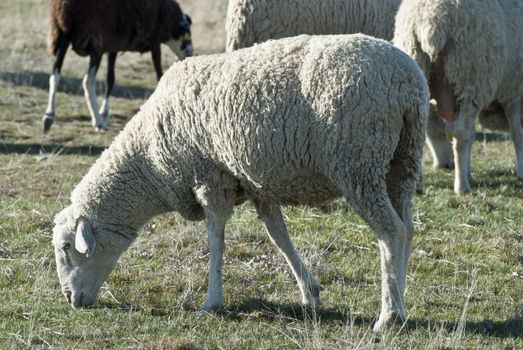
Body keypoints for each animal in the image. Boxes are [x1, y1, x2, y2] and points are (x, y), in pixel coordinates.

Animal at [43, 0, 194, 133]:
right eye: (187, 31)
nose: (191, 52)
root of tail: (68, 7)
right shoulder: (154, 43)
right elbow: (159, 74)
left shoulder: (113, 47)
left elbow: (110, 80)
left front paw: (104, 112)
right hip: (95, 41)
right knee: (87, 81)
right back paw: (97, 122)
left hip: (61, 34)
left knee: (55, 75)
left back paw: (49, 116)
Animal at [52, 34, 430, 332]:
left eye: (67, 248)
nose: (70, 299)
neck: (149, 160)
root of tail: (407, 79)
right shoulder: (256, 182)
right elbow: (278, 236)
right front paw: (309, 292)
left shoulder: (209, 177)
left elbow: (216, 239)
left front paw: (212, 301)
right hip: (402, 162)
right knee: (407, 229)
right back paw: (401, 301)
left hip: (358, 164)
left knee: (391, 232)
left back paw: (389, 314)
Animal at [392, 0, 523, 193]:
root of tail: (431, 21)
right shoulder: (513, 92)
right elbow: (517, 134)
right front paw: (521, 170)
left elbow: (473, 135)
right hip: (468, 76)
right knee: (460, 134)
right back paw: (461, 187)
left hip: (417, 64)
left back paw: (417, 186)